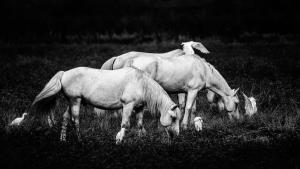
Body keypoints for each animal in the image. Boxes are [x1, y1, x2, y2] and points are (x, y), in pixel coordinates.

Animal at [10, 66, 180, 143]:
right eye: (173, 118)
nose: (176, 136)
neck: (141, 83)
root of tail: (65, 73)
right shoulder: (127, 106)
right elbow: (125, 124)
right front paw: (119, 140)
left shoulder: (138, 108)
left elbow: (139, 125)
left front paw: (141, 140)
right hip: (76, 101)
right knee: (75, 120)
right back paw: (80, 140)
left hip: (71, 101)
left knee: (65, 118)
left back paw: (63, 139)